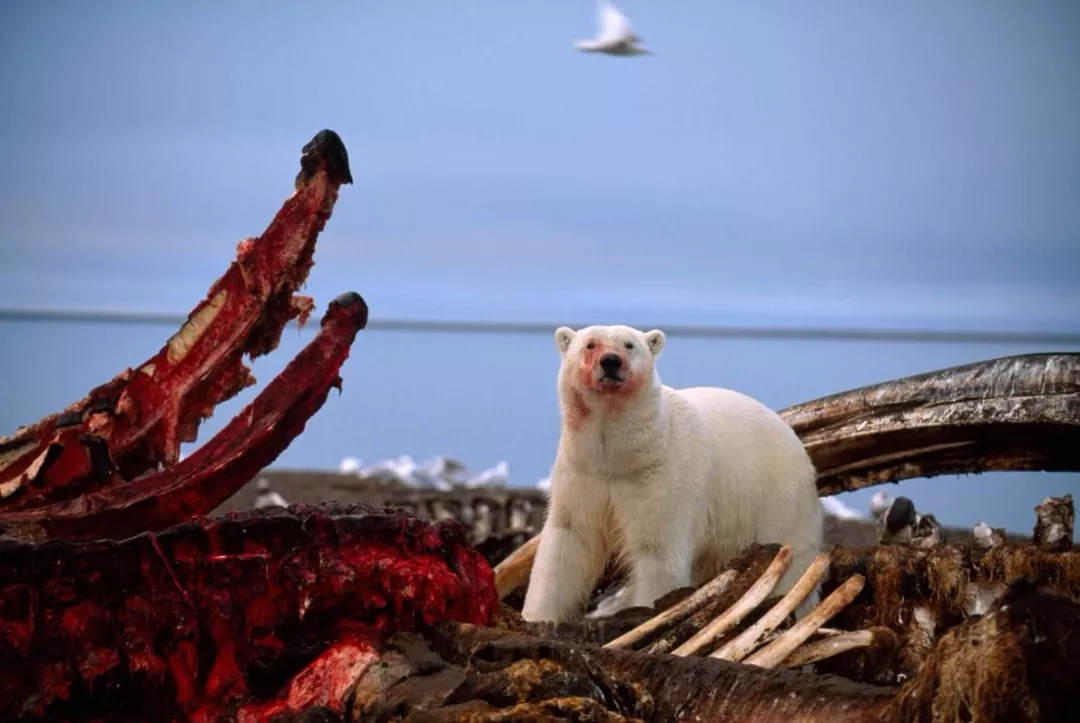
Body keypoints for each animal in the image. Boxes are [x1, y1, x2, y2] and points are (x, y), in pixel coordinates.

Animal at [518, 324, 820, 622]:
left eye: (629, 345)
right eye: (590, 344)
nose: (611, 361)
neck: (621, 456)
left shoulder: (661, 476)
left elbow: (657, 551)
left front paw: (648, 610)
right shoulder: (583, 473)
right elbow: (568, 542)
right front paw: (535, 615)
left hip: (778, 500)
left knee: (790, 558)